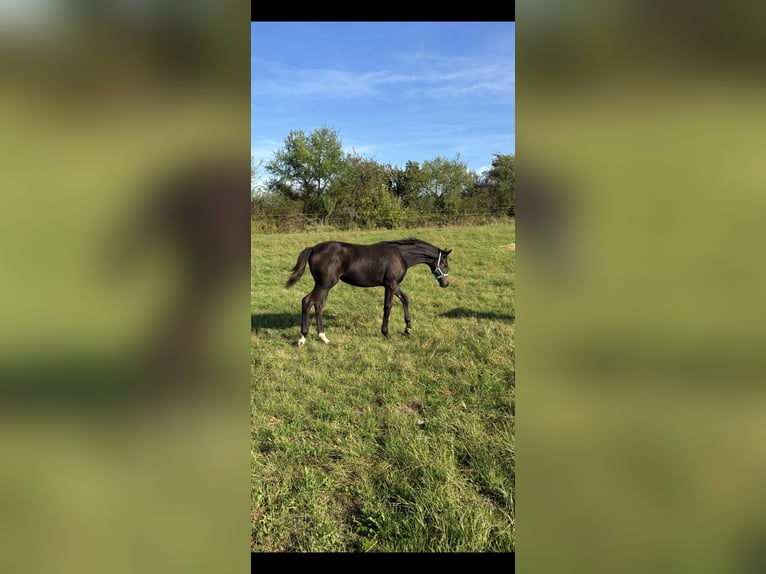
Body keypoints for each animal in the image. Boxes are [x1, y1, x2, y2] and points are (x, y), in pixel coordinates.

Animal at [285, 238, 451, 346]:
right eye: (444, 263)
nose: (445, 283)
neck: (400, 255)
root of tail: (313, 248)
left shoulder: (394, 284)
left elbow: (405, 299)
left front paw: (408, 328)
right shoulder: (390, 284)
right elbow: (388, 307)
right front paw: (386, 333)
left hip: (324, 285)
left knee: (319, 306)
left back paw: (323, 337)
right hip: (324, 284)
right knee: (307, 301)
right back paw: (302, 338)